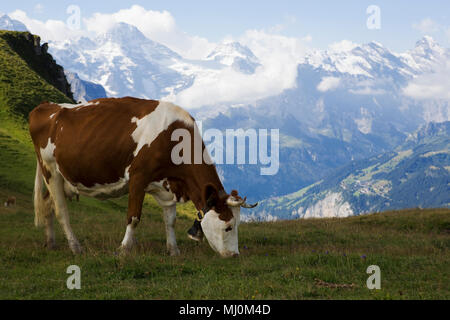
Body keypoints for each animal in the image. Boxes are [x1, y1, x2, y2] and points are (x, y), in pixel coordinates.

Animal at [29, 97, 256, 258]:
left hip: (64, 180)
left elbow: (170, 220)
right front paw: (123, 250)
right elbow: (134, 217)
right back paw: (75, 247)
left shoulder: (167, 186)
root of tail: (46, 107)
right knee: (61, 211)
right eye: (228, 227)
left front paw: (173, 250)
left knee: (47, 205)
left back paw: (51, 243)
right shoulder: (138, 178)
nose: (234, 255)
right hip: (51, 171)